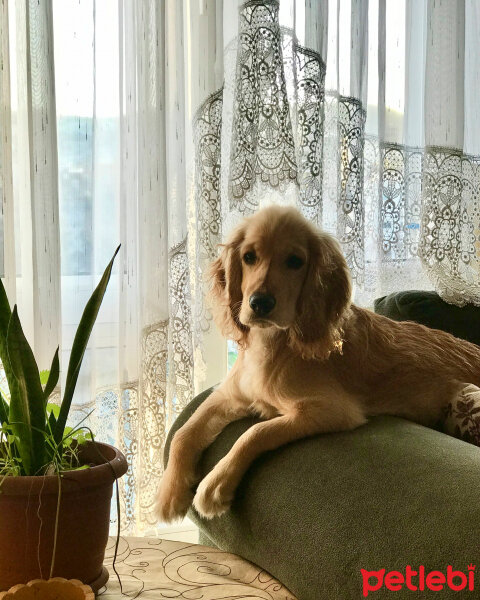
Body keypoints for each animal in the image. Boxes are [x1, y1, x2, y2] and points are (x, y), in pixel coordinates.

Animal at [156, 205, 480, 520]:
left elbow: (256, 432)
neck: (273, 344)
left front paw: (216, 485)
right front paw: (170, 494)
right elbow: (183, 433)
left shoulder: (329, 410)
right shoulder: (228, 395)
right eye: (249, 257)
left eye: (295, 261)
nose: (260, 303)